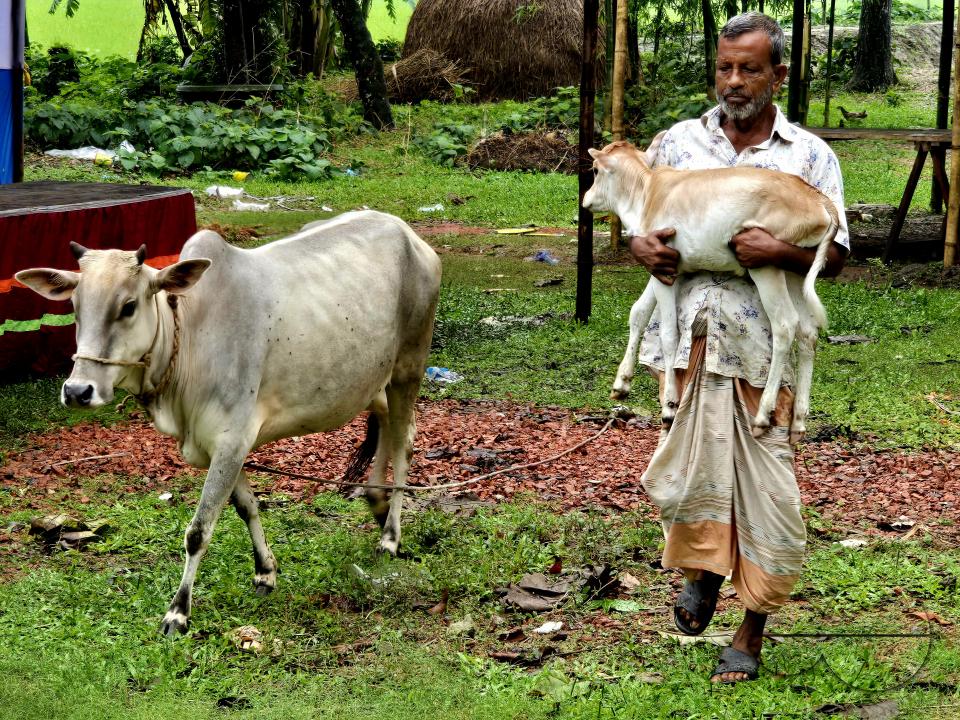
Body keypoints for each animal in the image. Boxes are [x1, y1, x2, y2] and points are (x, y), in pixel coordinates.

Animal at [15, 210, 442, 635]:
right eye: (75, 307)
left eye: (129, 306)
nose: (77, 391)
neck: (188, 333)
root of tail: (407, 233)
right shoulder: (214, 447)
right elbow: (246, 507)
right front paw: (265, 572)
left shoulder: (232, 440)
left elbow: (198, 530)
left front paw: (178, 611)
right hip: (374, 380)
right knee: (385, 425)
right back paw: (377, 502)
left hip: (408, 367)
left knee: (404, 441)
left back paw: (390, 535)